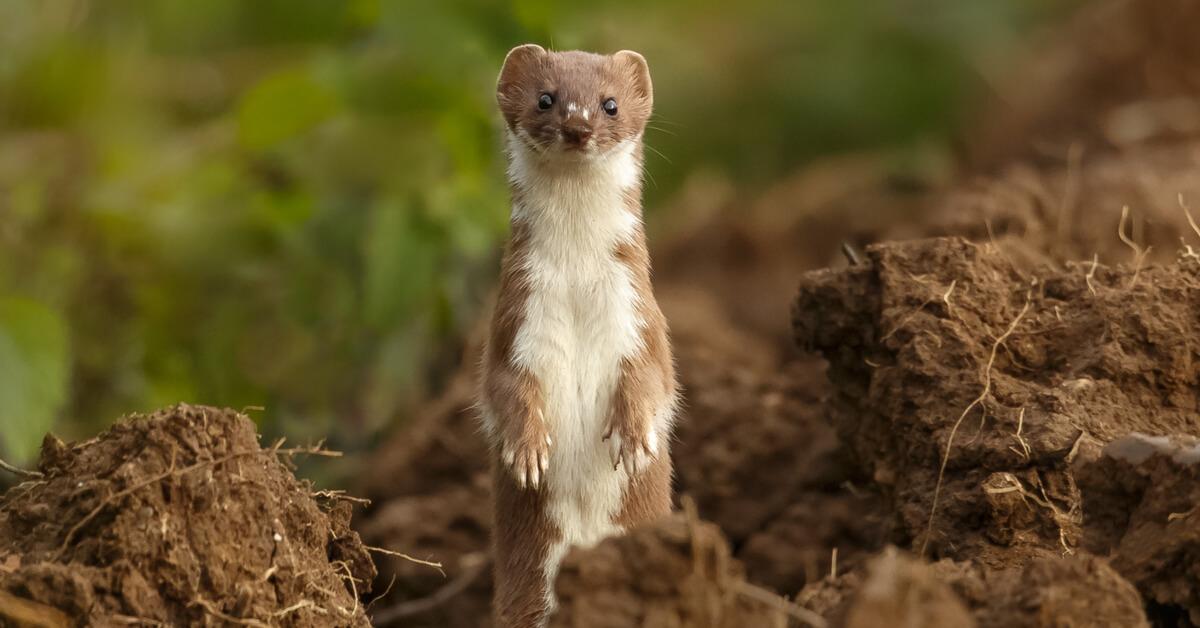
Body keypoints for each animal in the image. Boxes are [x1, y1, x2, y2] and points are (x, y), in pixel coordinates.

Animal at [477, 45, 681, 628]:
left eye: (609, 104)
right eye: (546, 98)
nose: (577, 126)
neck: (575, 278)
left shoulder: (639, 314)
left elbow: (653, 376)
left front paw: (634, 436)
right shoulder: (515, 318)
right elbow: (503, 385)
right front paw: (526, 450)